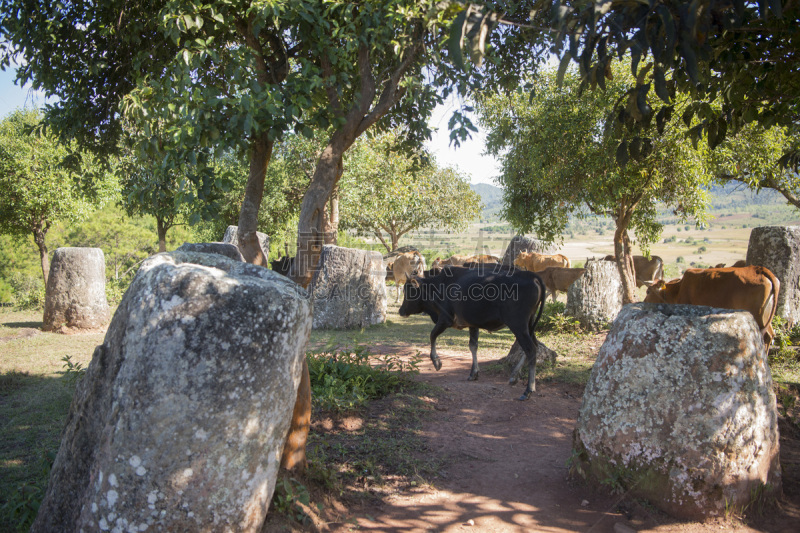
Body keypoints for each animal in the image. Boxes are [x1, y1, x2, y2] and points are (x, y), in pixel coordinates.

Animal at [398, 266, 548, 400]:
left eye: (409, 291)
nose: (401, 311)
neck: (438, 286)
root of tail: (532, 276)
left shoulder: (445, 319)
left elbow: (432, 335)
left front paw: (436, 362)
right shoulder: (472, 324)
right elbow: (473, 346)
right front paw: (473, 373)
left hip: (518, 325)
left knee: (530, 349)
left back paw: (528, 390)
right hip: (529, 325)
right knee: (534, 346)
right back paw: (514, 376)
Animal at [644, 264, 780, 344]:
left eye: (648, 291)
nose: (644, 302)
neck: (678, 289)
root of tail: (760, 270)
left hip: (757, 315)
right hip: (765, 317)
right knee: (770, 335)